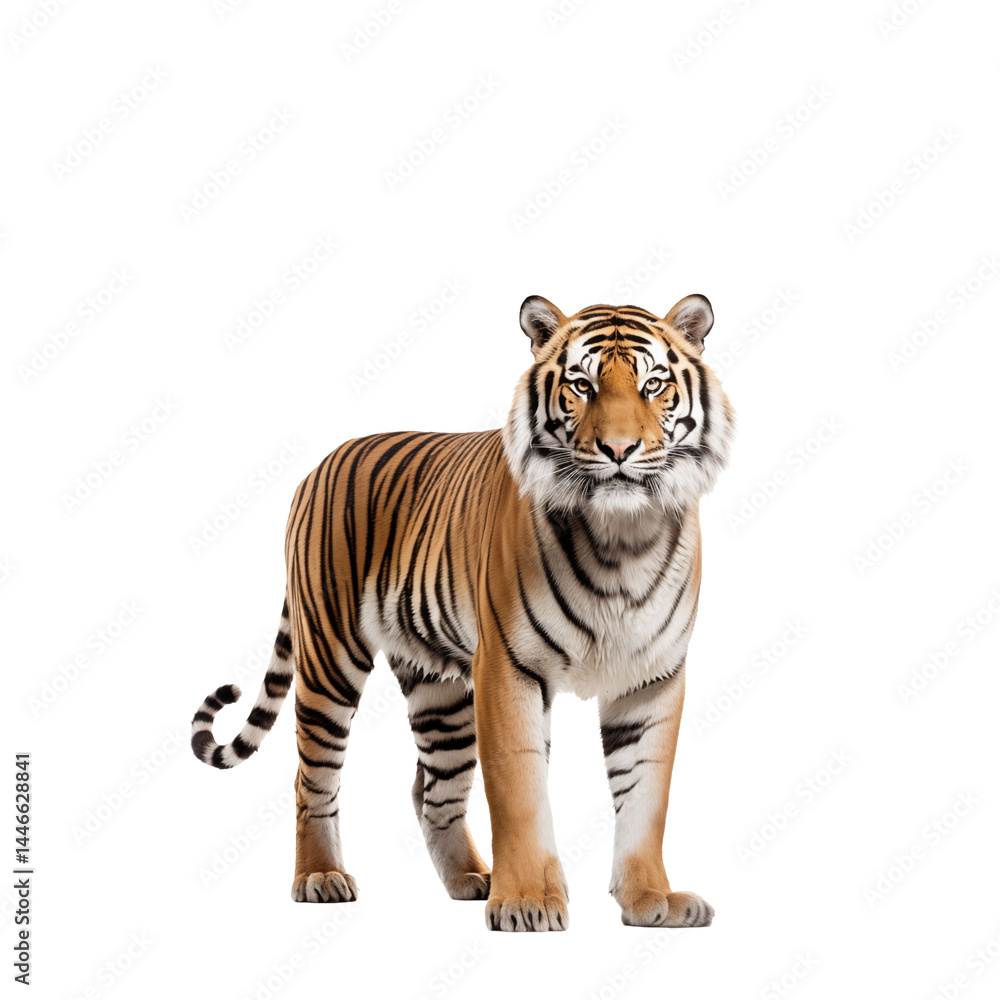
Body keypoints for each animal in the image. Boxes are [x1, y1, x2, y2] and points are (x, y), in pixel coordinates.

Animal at [191, 292, 736, 932]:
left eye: (653, 385)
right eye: (582, 384)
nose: (620, 451)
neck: (622, 536)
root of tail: (319, 464)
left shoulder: (652, 677)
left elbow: (647, 794)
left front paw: (652, 900)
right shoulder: (508, 667)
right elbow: (519, 789)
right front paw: (527, 901)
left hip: (440, 693)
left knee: (431, 791)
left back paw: (471, 878)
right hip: (330, 656)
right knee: (312, 777)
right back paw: (321, 878)